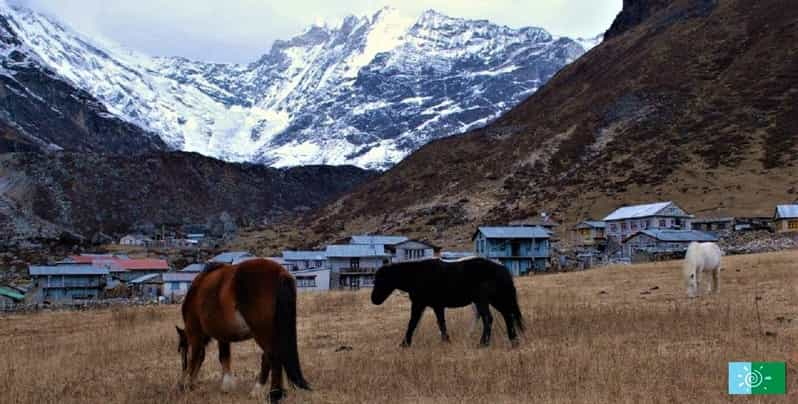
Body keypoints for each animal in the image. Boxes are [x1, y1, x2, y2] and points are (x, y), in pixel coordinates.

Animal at [177, 258, 310, 402]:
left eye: (182, 350)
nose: (180, 385)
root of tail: (280, 272)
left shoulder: (195, 333)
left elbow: (196, 358)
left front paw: (189, 384)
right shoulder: (223, 336)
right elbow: (224, 357)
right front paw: (226, 386)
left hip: (263, 332)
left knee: (271, 356)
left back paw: (271, 394)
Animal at [374, 256, 524, 348]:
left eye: (382, 279)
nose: (374, 299)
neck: (417, 275)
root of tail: (502, 268)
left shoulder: (419, 304)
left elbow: (412, 323)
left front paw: (404, 344)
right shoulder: (437, 306)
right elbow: (441, 323)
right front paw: (446, 341)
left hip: (482, 301)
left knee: (488, 318)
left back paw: (483, 344)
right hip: (495, 300)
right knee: (507, 316)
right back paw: (513, 341)